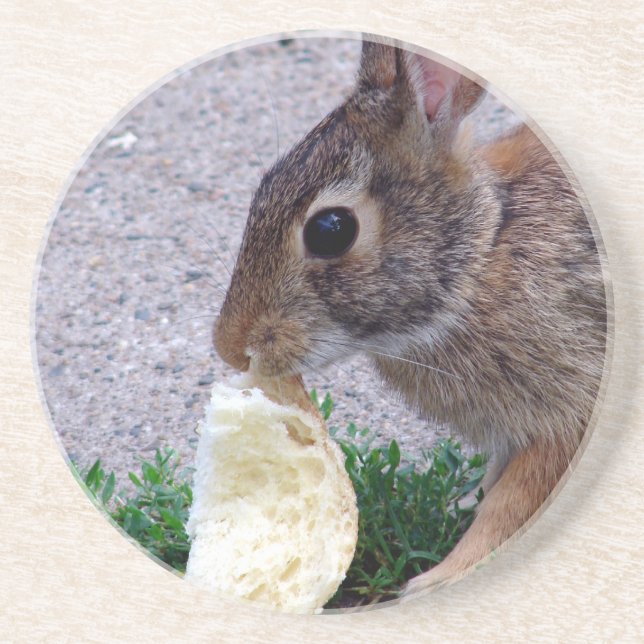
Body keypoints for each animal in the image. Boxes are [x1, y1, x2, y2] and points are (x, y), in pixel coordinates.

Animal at [213, 36, 608, 596]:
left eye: (331, 229)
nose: (229, 346)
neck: (480, 254)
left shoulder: (570, 401)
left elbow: (512, 503)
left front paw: (438, 579)